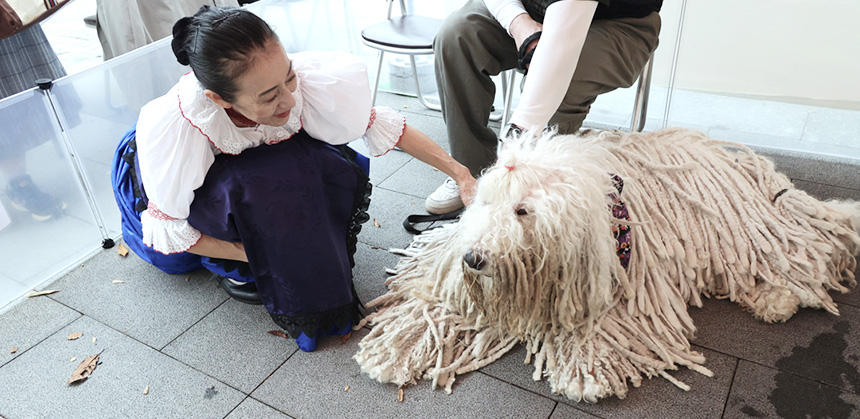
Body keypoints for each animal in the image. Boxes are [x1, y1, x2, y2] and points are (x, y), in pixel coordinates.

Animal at [352, 129, 860, 404]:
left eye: (522, 211)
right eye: (485, 203)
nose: (475, 258)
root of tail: (744, 164)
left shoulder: (607, 283)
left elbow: (596, 330)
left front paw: (586, 374)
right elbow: (435, 305)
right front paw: (395, 350)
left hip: (750, 231)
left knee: (814, 250)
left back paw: (779, 296)